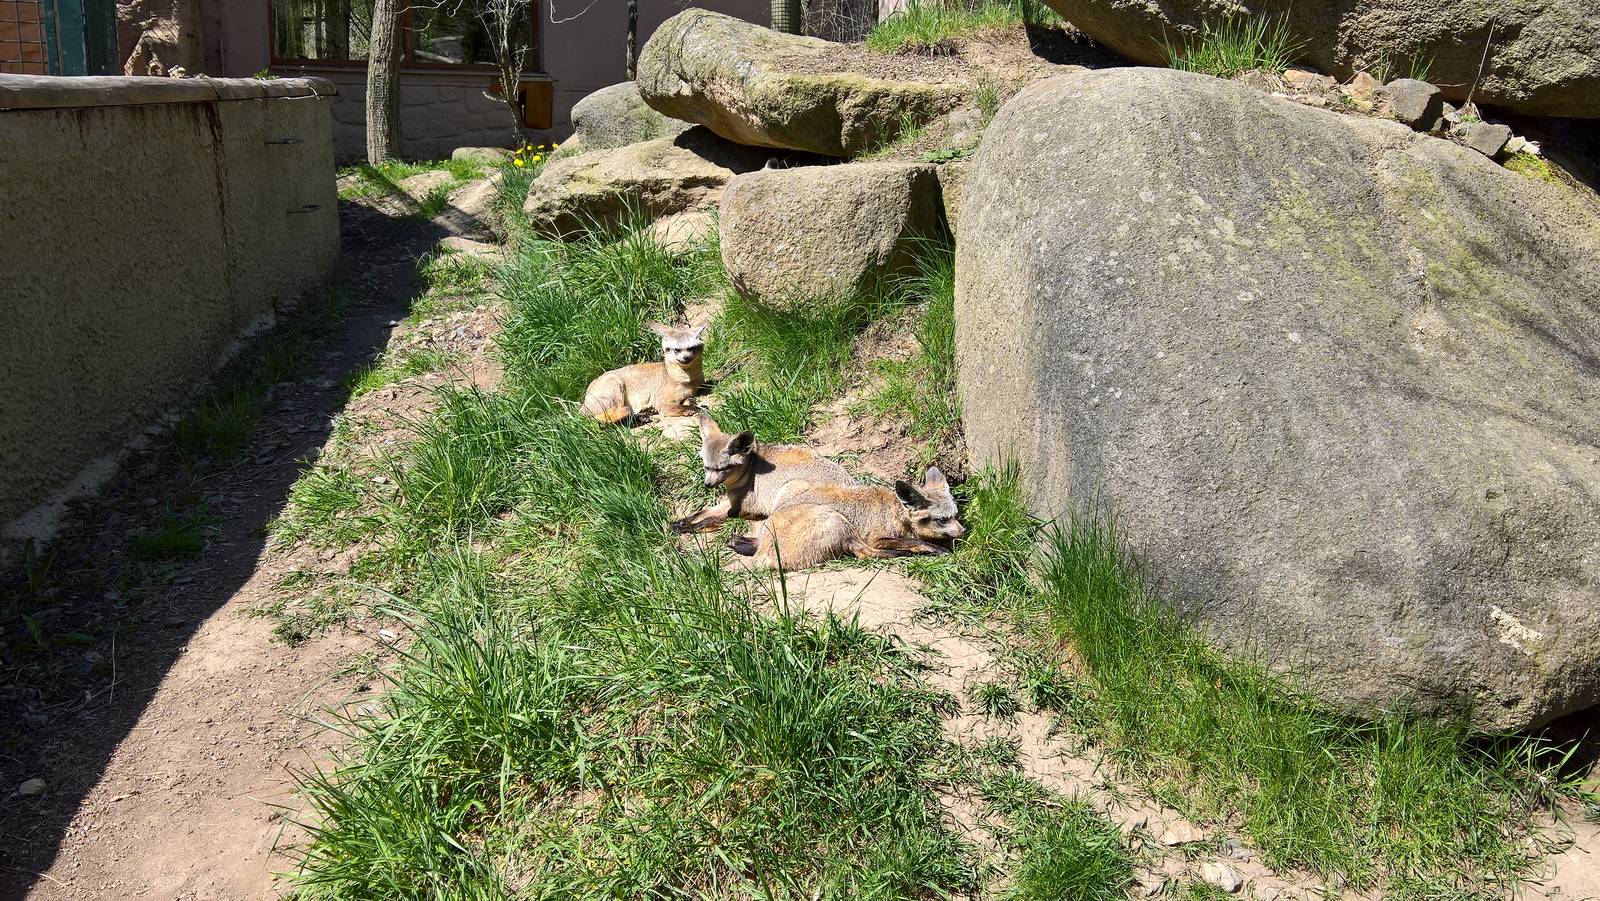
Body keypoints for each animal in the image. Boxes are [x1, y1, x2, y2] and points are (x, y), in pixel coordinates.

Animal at [670, 412, 856, 533]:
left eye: (722, 469)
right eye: (706, 467)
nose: (707, 485)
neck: (748, 472)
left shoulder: (745, 506)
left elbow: (712, 519)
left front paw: (690, 527)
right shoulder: (732, 502)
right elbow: (703, 511)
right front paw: (681, 521)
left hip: (787, 491)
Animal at [727, 466, 965, 571]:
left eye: (956, 516)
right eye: (942, 520)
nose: (963, 531)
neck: (893, 512)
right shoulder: (876, 538)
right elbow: (912, 541)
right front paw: (935, 549)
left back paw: (740, 543)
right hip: (836, 519)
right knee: (865, 554)